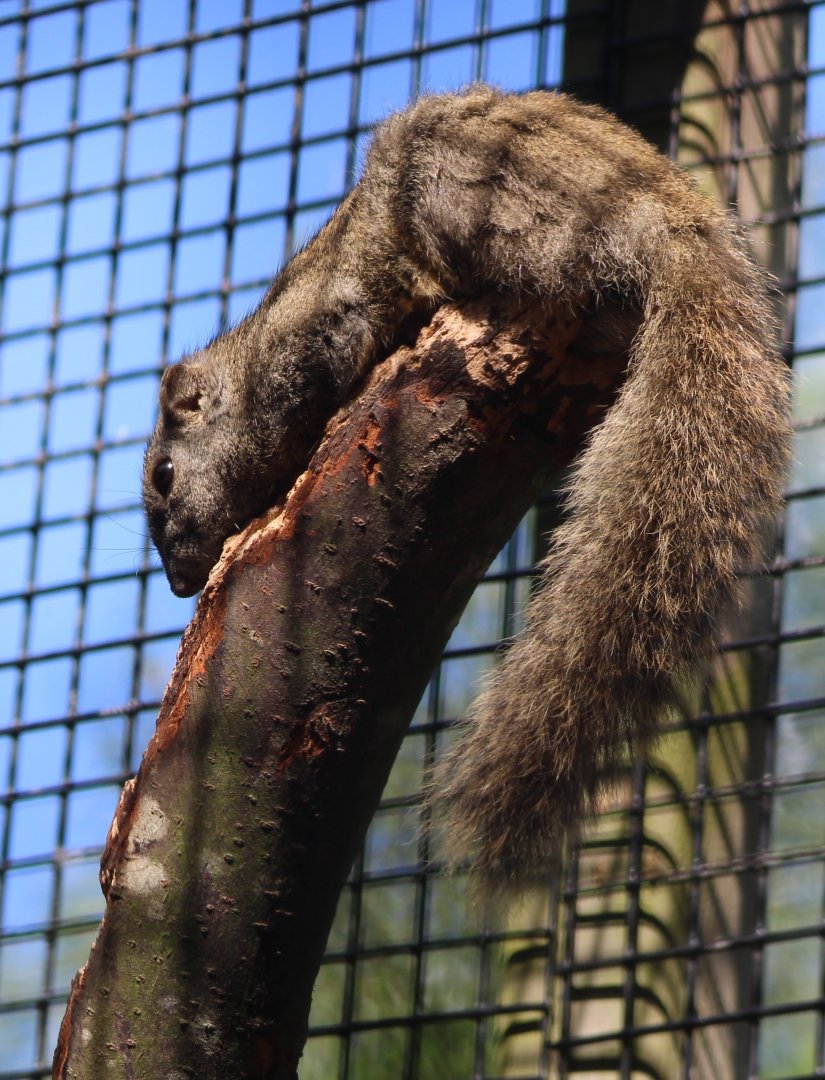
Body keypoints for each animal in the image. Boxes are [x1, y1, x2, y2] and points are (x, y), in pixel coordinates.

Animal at [143, 87, 791, 887]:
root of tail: (672, 223)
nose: (178, 582)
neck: (252, 361)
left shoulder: (322, 336)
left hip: (476, 189)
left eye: (164, 475)